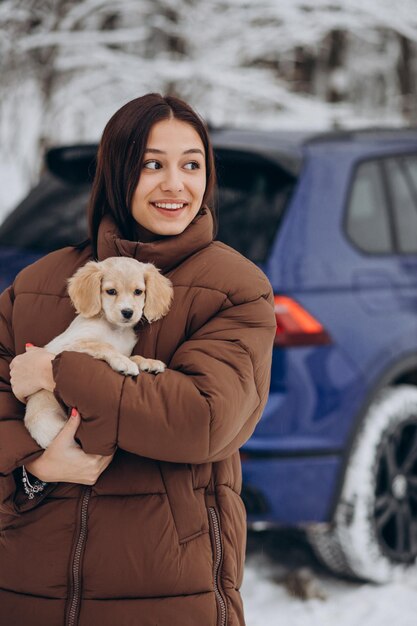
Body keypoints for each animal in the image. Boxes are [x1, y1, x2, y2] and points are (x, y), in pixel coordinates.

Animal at [23, 256, 173, 446]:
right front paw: (123, 362)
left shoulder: (125, 349)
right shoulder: (67, 345)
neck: (115, 329)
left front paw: (148, 362)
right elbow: (103, 345)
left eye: (138, 292)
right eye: (111, 291)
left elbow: (134, 356)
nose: (127, 312)